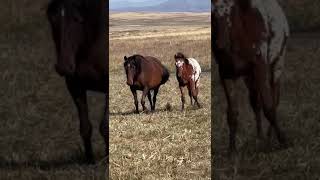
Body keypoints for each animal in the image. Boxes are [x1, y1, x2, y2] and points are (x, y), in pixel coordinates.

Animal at [47, 0, 107, 163]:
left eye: (77, 19)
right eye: (52, 18)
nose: (63, 66)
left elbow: (105, 126)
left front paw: (107, 159)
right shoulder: (75, 87)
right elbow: (85, 128)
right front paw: (90, 161)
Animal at [212, 0, 290, 155]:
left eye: (231, 12)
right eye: (212, 15)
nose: (219, 45)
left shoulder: (260, 67)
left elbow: (269, 107)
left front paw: (283, 141)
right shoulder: (226, 73)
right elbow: (232, 113)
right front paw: (231, 150)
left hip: (276, 66)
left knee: (274, 99)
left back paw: (269, 135)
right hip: (249, 78)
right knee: (255, 103)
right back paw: (260, 137)